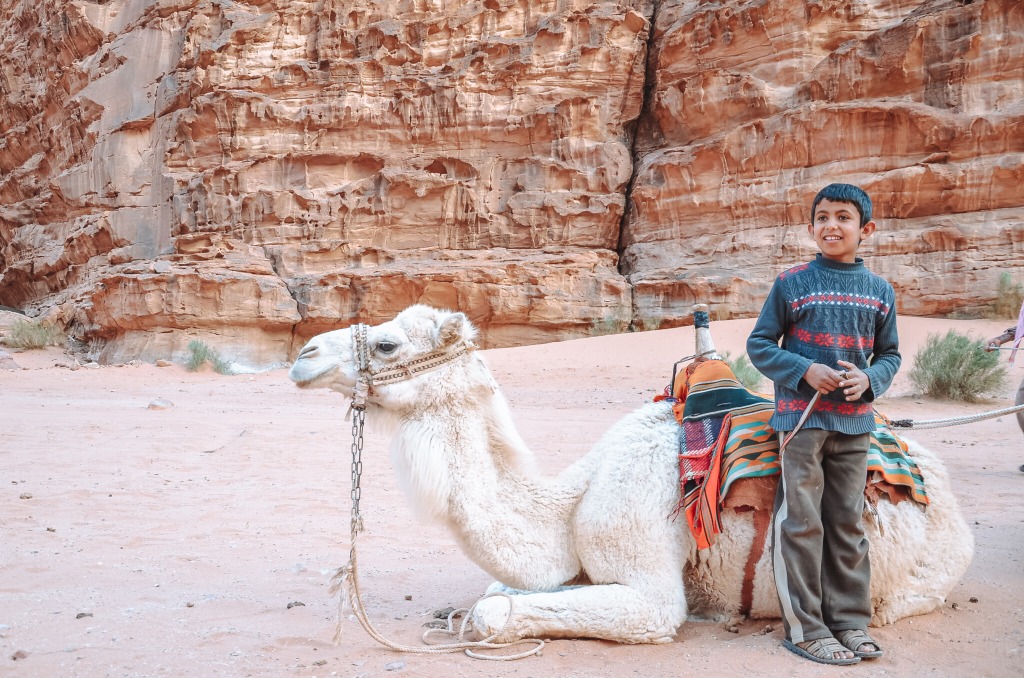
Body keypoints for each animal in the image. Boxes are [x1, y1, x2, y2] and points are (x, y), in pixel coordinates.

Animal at [290, 305, 974, 647]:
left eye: (386, 344)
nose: (303, 356)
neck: (570, 504)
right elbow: (498, 590)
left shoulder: (647, 579)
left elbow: (495, 613)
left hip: (920, 579)